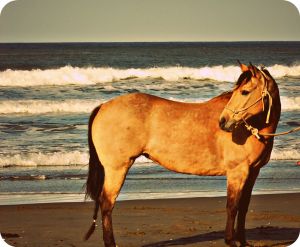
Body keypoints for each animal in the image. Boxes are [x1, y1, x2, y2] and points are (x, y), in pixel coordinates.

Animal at [84, 62, 282, 247]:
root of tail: (103, 106)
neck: (251, 127)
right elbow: (232, 206)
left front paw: (242, 241)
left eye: (245, 92)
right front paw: (231, 241)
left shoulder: (252, 172)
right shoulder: (237, 172)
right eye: (239, 91)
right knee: (107, 204)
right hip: (116, 169)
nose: (223, 122)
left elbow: (243, 207)